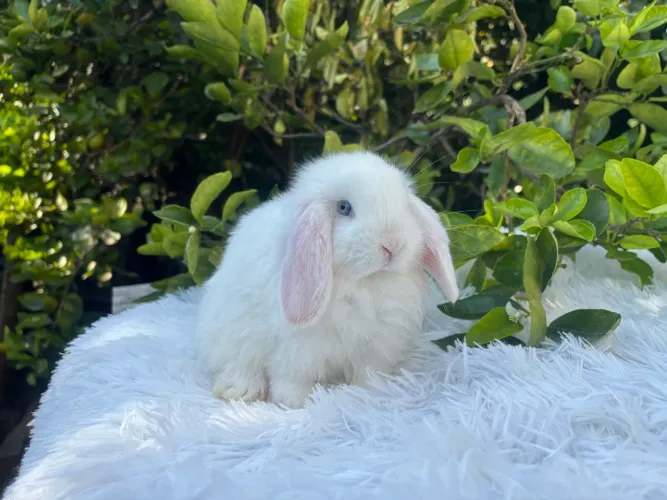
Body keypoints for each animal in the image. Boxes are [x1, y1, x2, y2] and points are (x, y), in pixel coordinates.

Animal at [195, 151, 459, 408]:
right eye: (344, 207)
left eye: (403, 203)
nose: (393, 244)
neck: (361, 282)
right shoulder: (297, 348)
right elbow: (291, 377)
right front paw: (296, 400)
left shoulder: (376, 345)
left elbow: (369, 372)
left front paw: (372, 391)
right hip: (232, 336)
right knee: (238, 365)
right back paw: (241, 390)